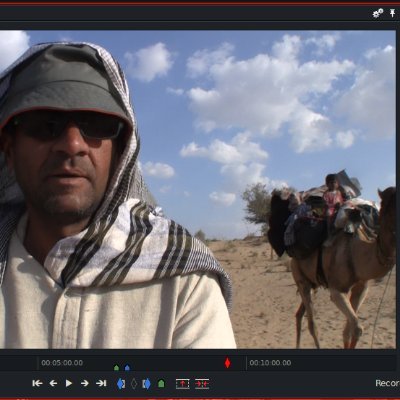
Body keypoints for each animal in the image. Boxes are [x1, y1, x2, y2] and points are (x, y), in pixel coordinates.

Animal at [290, 187, 396, 346]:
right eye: (388, 208)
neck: (356, 253)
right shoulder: (337, 290)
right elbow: (357, 329)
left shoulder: (362, 288)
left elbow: (348, 332)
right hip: (300, 278)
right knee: (312, 324)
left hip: (313, 283)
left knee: (299, 315)